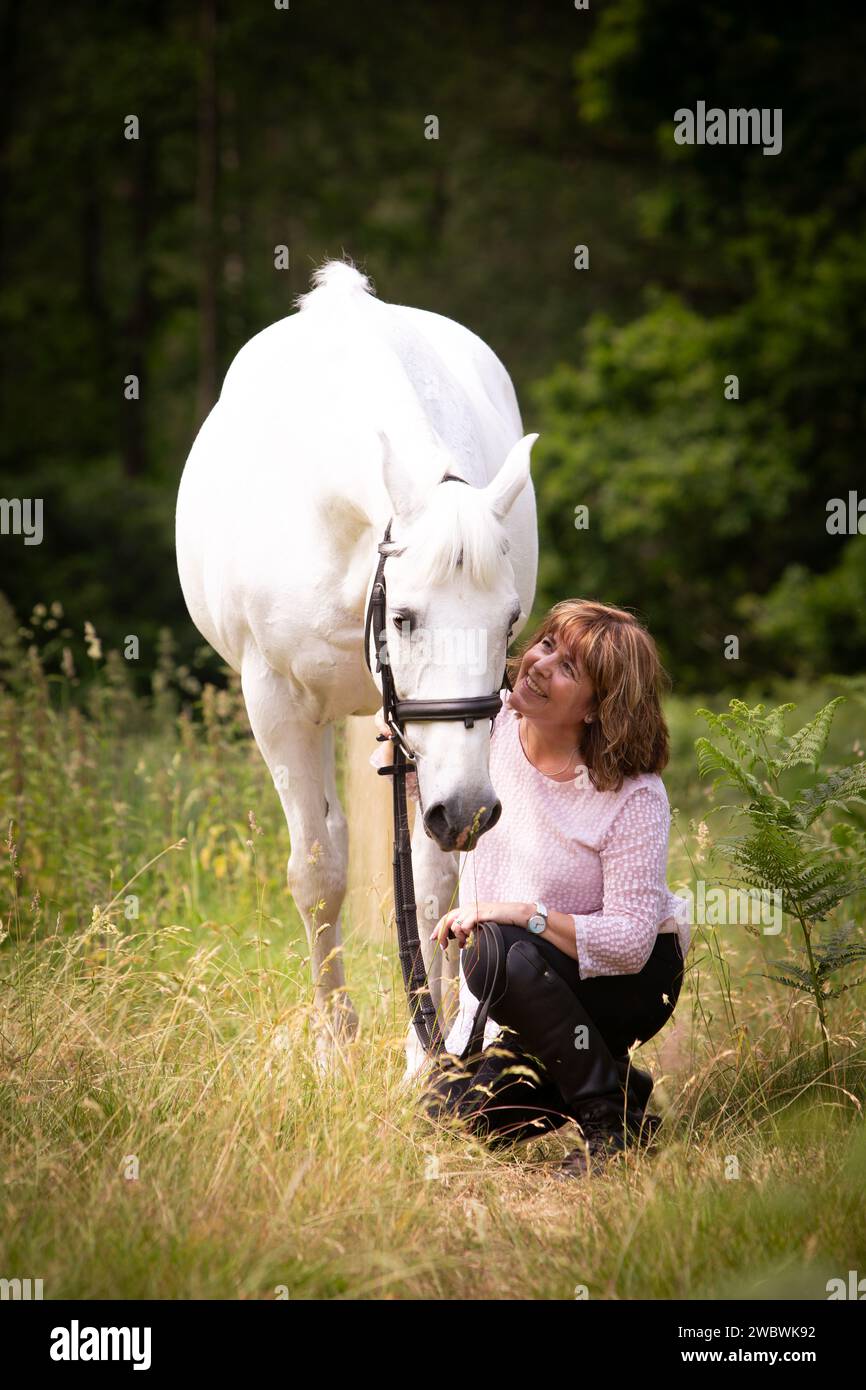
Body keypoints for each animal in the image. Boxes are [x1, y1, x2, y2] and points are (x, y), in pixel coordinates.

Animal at [175, 265, 539, 1078]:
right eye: (402, 617)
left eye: (508, 623)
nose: (471, 810)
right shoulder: (275, 703)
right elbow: (317, 875)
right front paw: (334, 1049)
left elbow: (433, 887)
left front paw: (427, 1054)